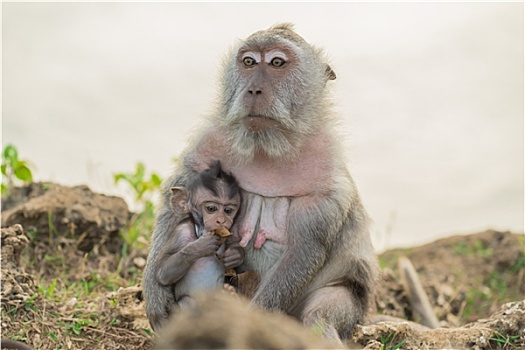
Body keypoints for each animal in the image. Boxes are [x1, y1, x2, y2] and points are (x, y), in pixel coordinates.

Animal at [141, 161, 244, 330]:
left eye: (228, 210)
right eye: (211, 209)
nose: (221, 220)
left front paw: (235, 255)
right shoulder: (180, 233)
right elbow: (162, 272)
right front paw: (199, 247)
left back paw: (230, 293)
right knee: (189, 304)